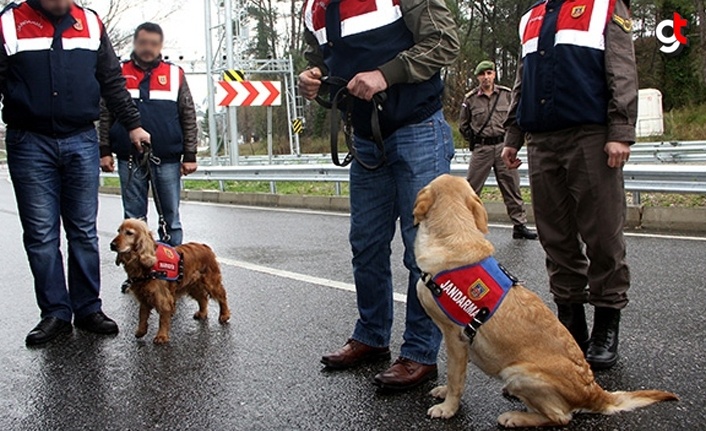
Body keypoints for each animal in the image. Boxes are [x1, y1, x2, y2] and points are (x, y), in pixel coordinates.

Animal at [412, 175, 676, 428]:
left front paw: (448, 408)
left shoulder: (455, 338)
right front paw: (444, 393)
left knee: (560, 417)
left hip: (520, 373)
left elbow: (455, 376)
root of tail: (595, 392)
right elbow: (457, 375)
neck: (452, 234)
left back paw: (516, 417)